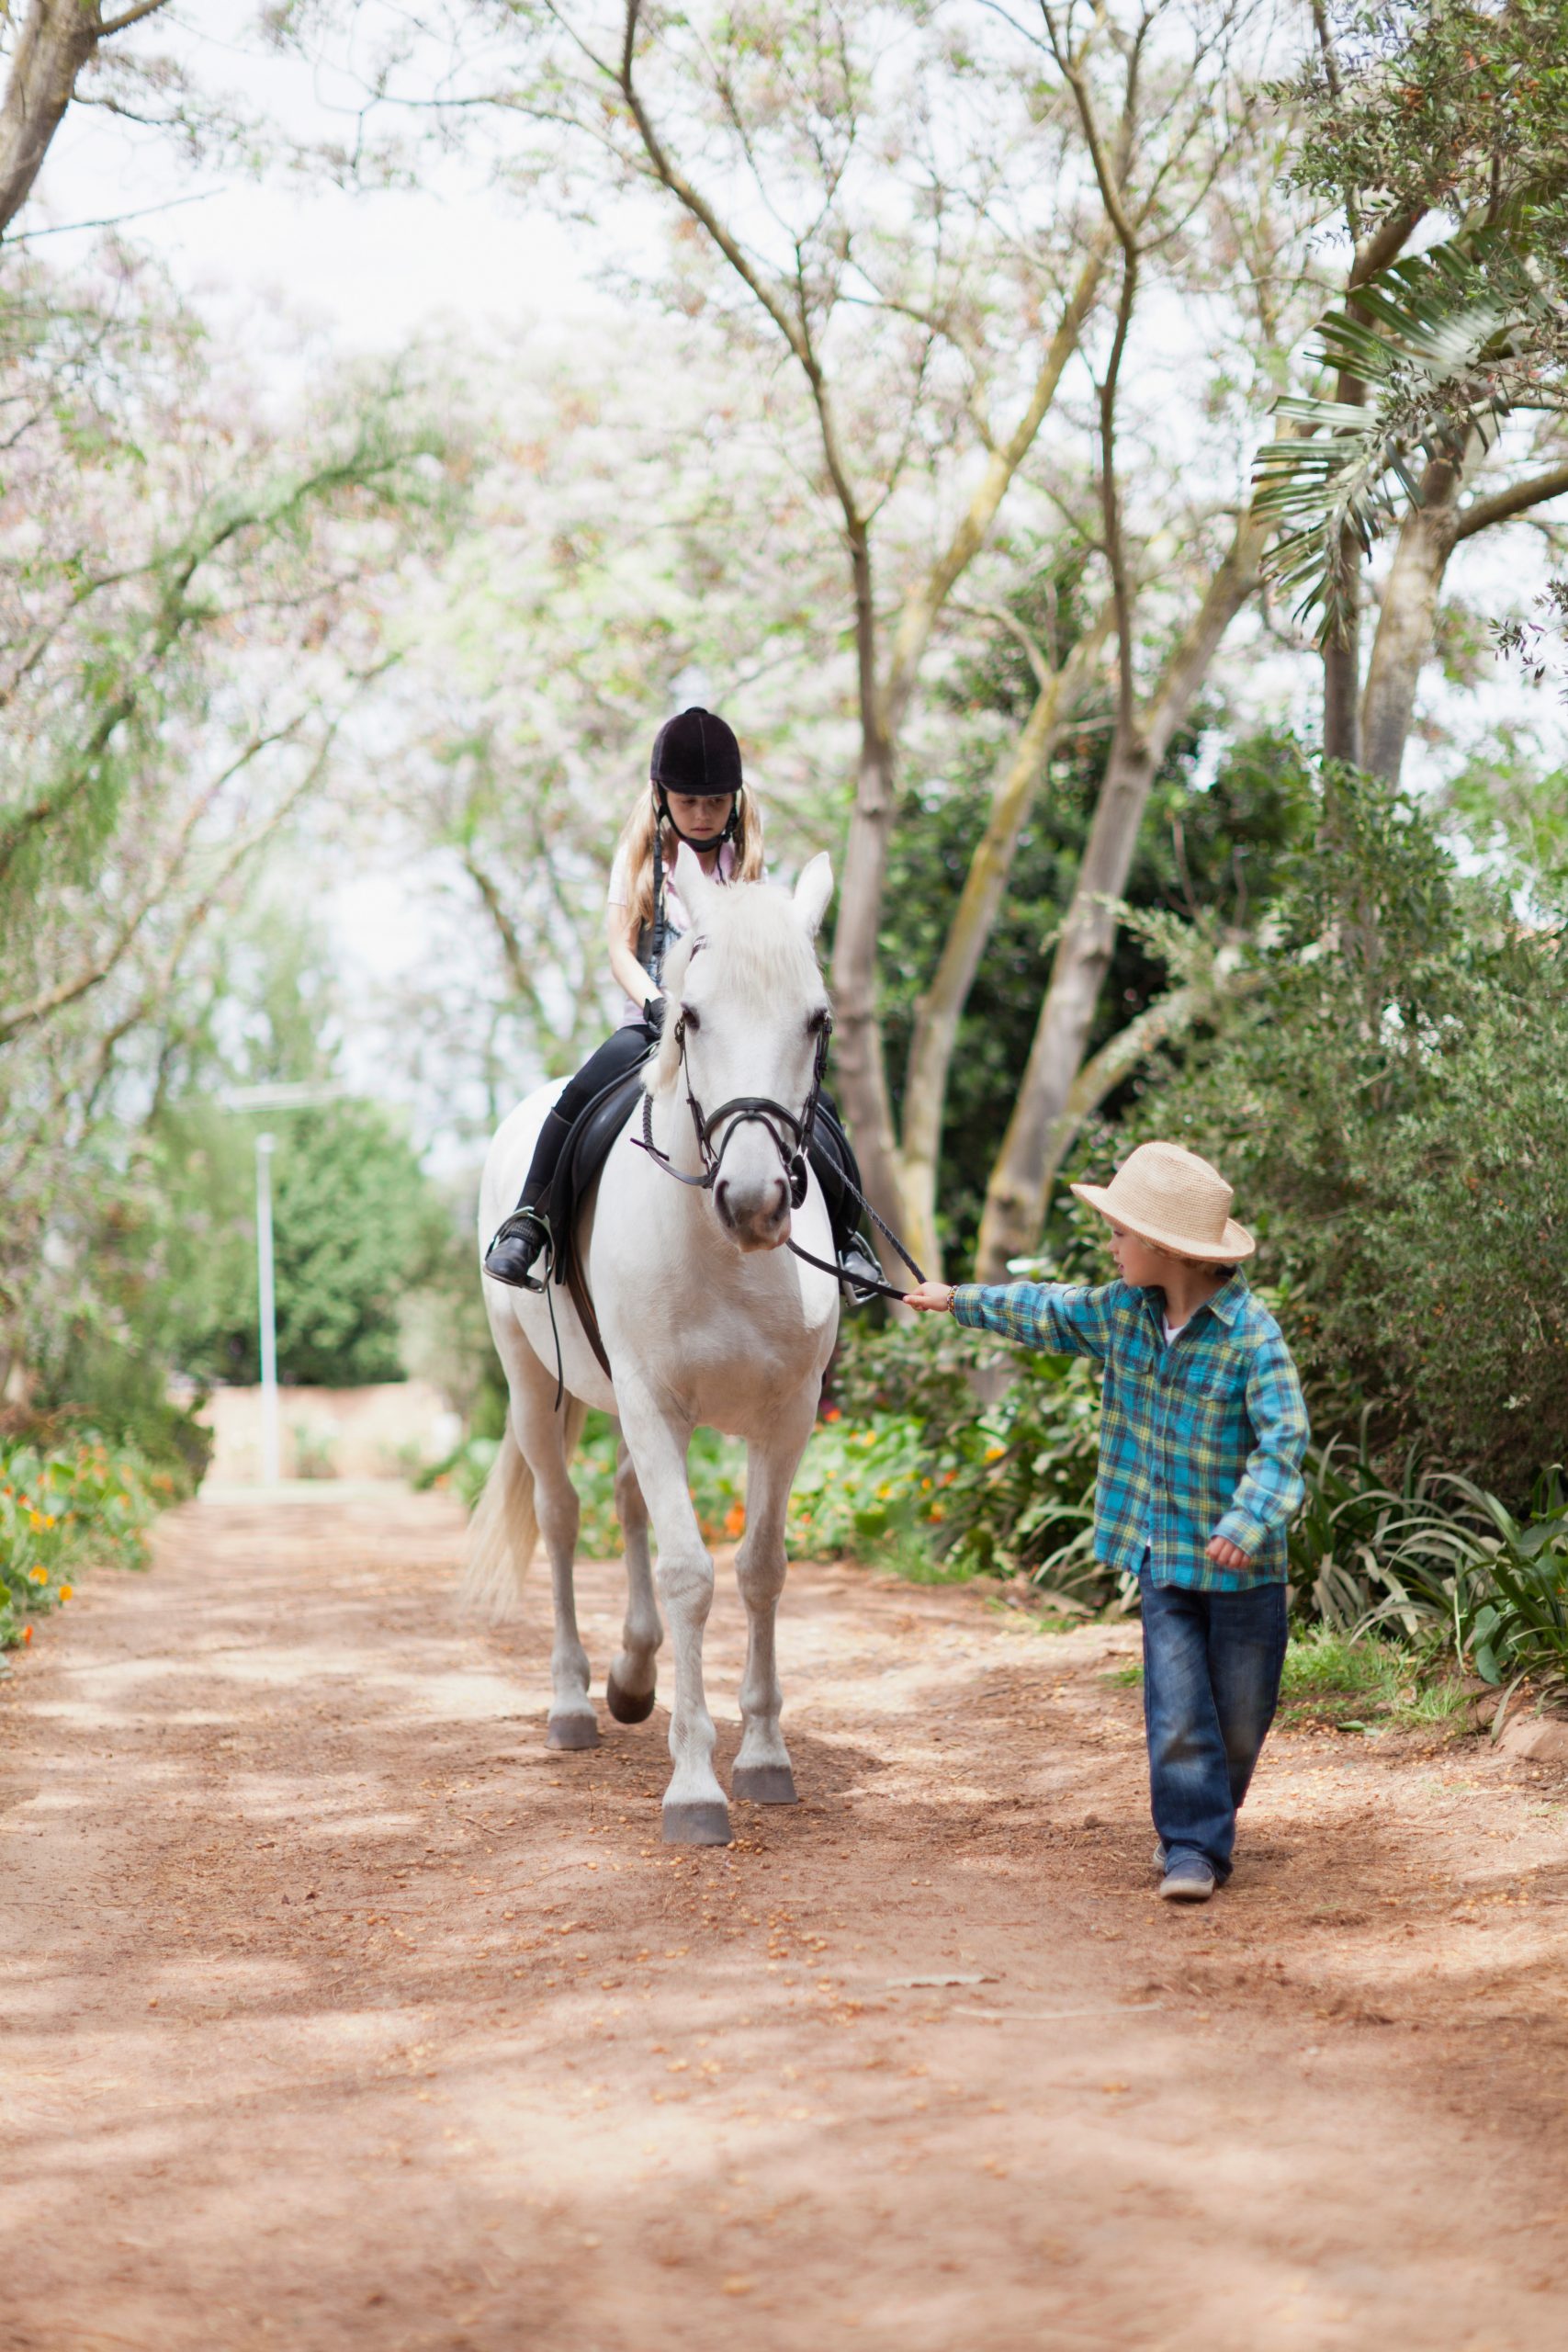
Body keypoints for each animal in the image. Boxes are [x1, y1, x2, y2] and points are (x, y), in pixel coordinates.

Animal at [464, 848, 842, 1845]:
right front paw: (696, 1788)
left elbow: (759, 1571)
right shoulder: (649, 1398)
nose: (753, 1202)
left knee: (630, 1496)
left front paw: (763, 1756)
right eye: (691, 1016)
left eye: (817, 1019)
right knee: (561, 1515)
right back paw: (573, 1703)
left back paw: (633, 1677)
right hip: (535, 1384)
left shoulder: (785, 1415)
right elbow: (688, 1573)